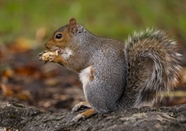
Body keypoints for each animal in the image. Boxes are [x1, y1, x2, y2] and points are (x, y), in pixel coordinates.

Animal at [38, 17, 182, 122]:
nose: (46, 45)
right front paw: (46, 54)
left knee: (102, 110)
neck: (79, 40)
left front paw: (55, 57)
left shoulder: (84, 52)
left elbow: (76, 63)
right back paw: (84, 104)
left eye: (58, 36)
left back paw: (86, 113)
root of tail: (115, 104)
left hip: (93, 88)